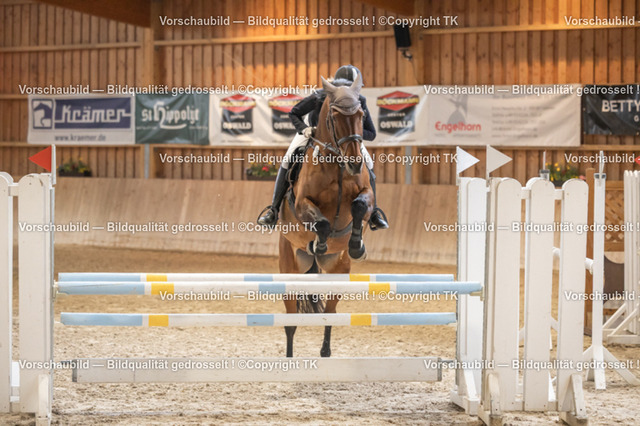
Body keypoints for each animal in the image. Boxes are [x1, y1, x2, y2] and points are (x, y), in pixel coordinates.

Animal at [278, 73, 374, 358]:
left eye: (361, 114)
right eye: (334, 115)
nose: (355, 163)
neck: (337, 165)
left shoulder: (366, 194)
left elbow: (359, 207)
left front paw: (356, 245)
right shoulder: (301, 203)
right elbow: (320, 222)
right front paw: (318, 243)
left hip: (338, 271)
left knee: (329, 314)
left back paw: (325, 351)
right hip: (290, 267)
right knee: (290, 322)